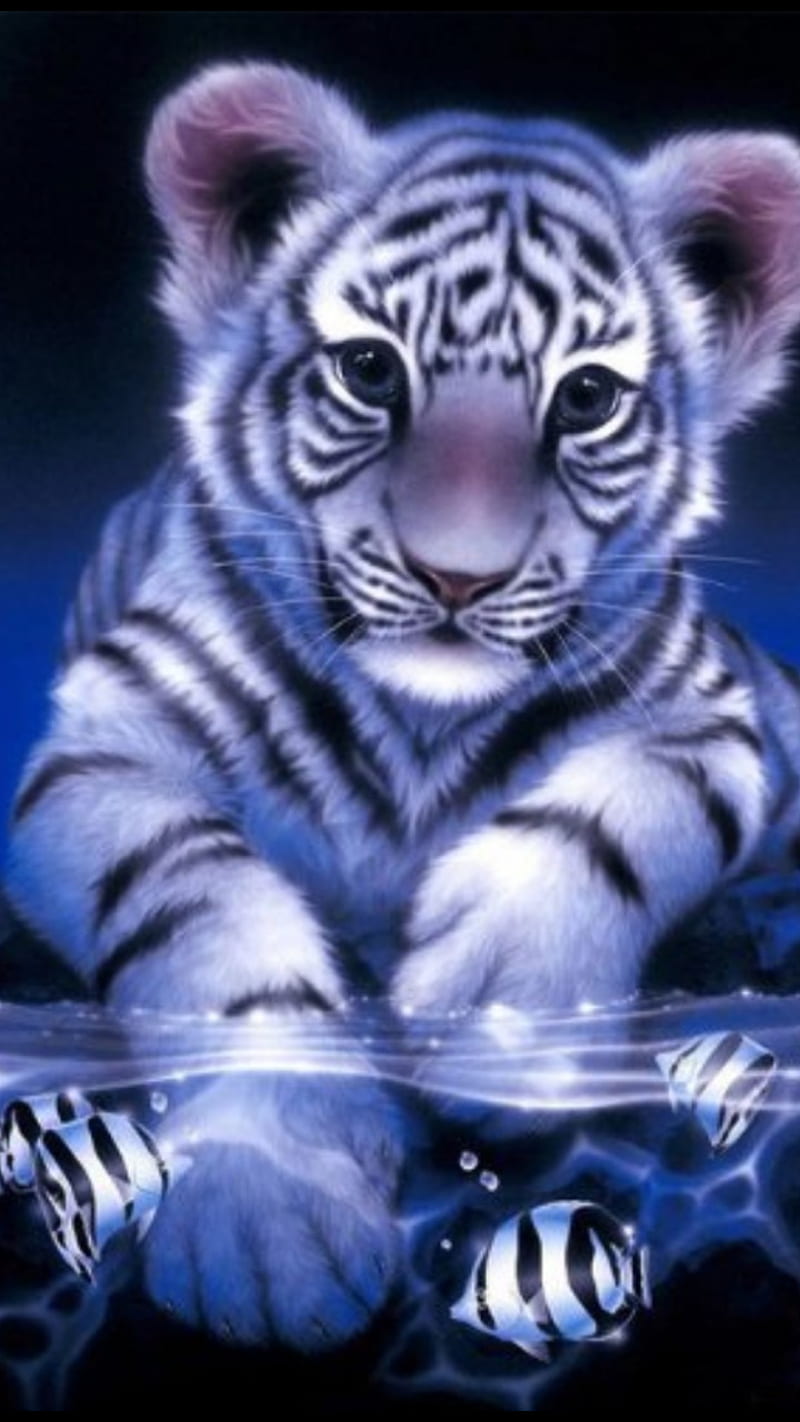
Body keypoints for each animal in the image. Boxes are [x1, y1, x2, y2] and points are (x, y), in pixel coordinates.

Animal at [6, 60, 800, 1349]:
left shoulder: (706, 718)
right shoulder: (102, 748)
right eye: (371, 369)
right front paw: (268, 1210)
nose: (456, 577)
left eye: (585, 397)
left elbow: (615, 813)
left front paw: (499, 1015)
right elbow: (200, 913)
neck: (419, 727)